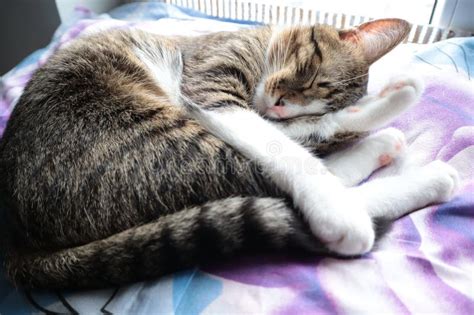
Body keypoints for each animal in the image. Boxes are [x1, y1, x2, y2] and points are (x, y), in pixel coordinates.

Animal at [0, 16, 460, 288]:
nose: (282, 107)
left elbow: (297, 136)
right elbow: (284, 147)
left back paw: (390, 146)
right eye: (312, 73)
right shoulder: (211, 90)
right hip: (147, 139)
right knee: (257, 180)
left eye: (315, 96)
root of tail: (18, 238)